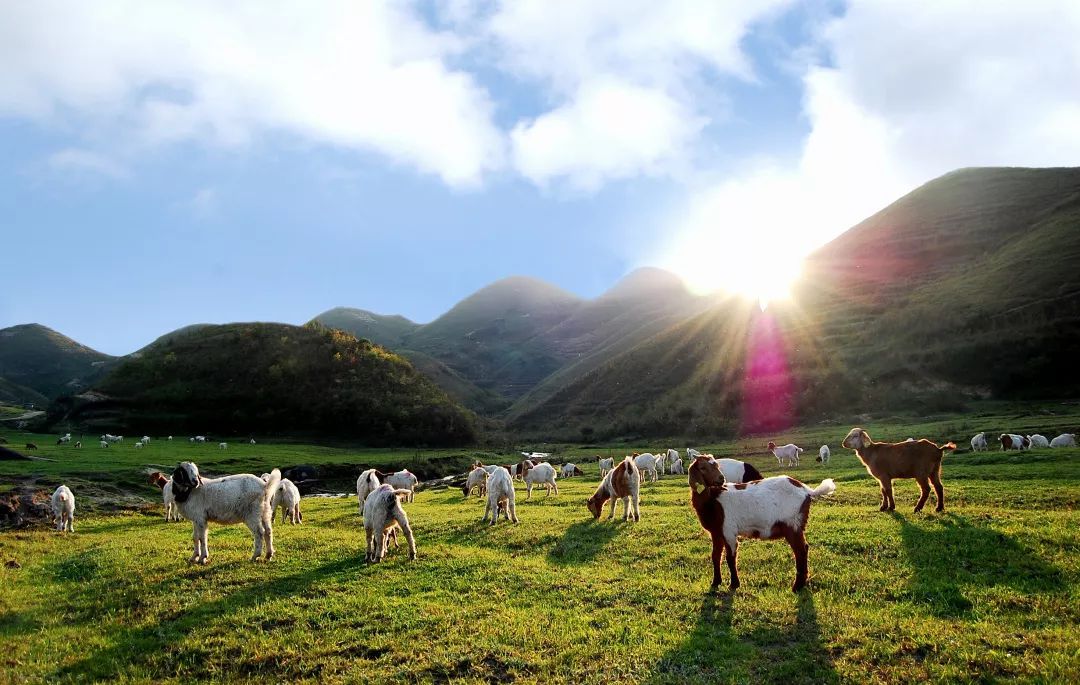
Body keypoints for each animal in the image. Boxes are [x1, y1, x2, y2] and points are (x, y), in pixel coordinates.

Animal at [686, 453, 829, 592]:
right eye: (703, 468)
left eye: (716, 465)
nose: (721, 479)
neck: (713, 499)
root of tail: (805, 490)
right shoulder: (716, 532)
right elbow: (715, 556)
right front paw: (715, 583)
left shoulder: (728, 530)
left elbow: (730, 557)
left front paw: (734, 585)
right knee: (803, 548)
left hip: (793, 524)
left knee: (800, 550)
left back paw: (797, 586)